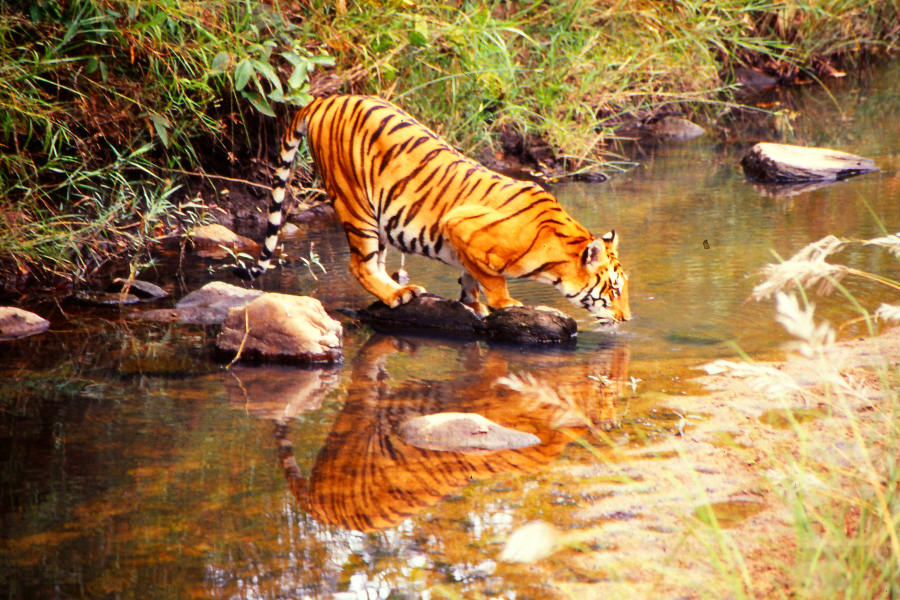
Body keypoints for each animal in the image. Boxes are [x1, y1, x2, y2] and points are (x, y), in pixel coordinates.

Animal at [234, 95, 631, 324]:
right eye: (613, 290)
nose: (628, 319)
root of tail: (324, 99)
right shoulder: (460, 226)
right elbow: (492, 279)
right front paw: (504, 303)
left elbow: (471, 275)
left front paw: (472, 303)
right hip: (355, 203)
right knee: (360, 265)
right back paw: (397, 294)